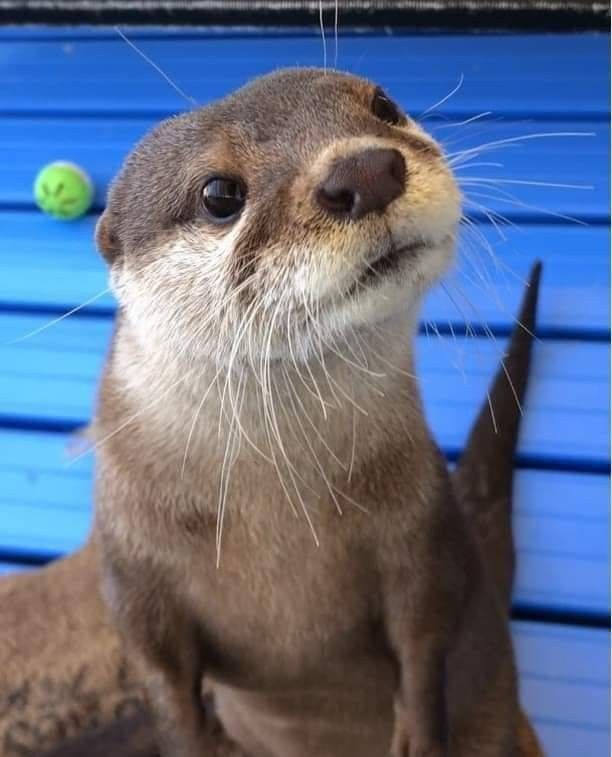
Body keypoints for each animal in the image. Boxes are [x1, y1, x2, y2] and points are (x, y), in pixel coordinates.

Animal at [91, 68, 532, 752]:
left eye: (384, 106)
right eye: (220, 193)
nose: (366, 169)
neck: (274, 505)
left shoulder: (422, 527)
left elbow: (426, 633)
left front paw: (417, 734)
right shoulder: (134, 571)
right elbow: (162, 679)